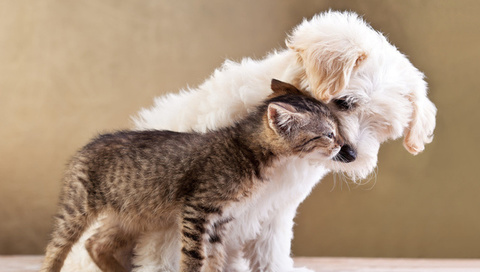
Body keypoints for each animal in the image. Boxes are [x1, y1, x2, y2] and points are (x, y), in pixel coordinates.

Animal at [40, 79, 342, 272]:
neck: (246, 149)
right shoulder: (196, 210)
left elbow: (215, 258)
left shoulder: (221, 220)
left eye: (336, 129)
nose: (342, 145)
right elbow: (194, 257)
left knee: (95, 243)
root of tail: (87, 145)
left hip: (131, 215)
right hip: (77, 208)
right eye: (328, 134)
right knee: (56, 246)